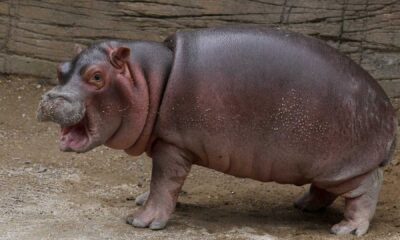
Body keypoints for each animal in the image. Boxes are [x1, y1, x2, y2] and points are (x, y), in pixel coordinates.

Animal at [36, 26, 396, 236]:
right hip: (324, 165)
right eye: (61, 68)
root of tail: (388, 110)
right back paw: (304, 205)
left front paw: (141, 221)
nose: (51, 98)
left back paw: (346, 228)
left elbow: (163, 182)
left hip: (346, 163)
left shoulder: (172, 145)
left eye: (97, 77)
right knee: (326, 189)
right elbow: (162, 186)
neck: (147, 77)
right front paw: (141, 200)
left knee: (367, 187)